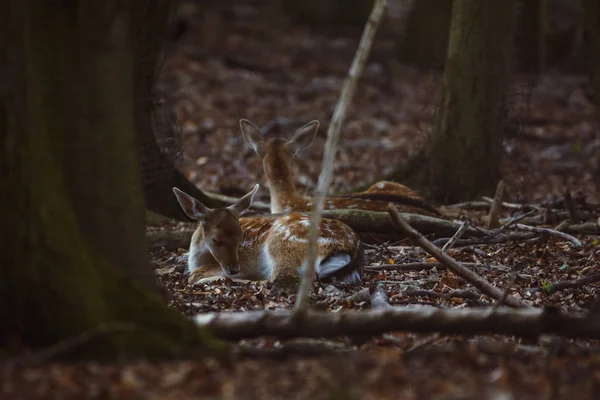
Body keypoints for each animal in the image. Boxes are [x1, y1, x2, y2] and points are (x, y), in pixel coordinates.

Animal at [171, 184, 364, 284]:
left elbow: (193, 275)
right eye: (216, 240)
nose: (234, 269)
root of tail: (352, 249)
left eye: (241, 236)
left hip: (281, 241)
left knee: (281, 277)